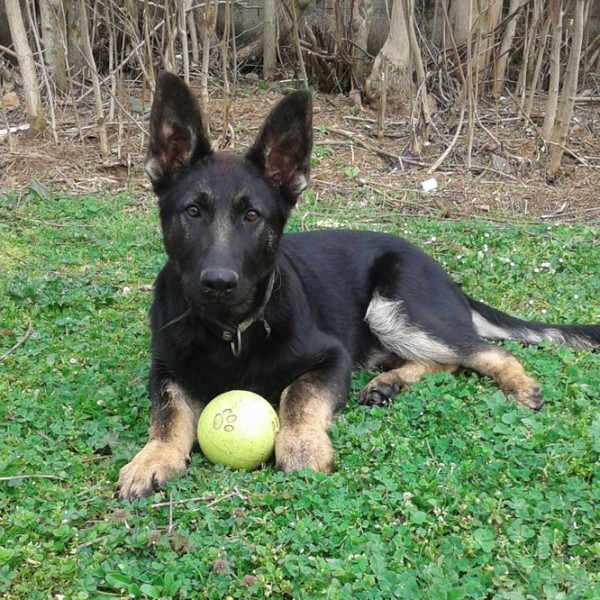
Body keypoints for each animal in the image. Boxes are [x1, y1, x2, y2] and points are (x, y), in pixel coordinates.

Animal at [117, 71, 600, 502]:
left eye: (252, 216)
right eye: (192, 211)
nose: (218, 283)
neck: (233, 331)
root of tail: (445, 277)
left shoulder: (332, 358)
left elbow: (298, 396)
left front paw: (302, 445)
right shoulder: (166, 370)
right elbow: (168, 415)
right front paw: (152, 457)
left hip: (392, 307)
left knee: (485, 352)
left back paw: (516, 385)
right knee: (445, 362)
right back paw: (389, 383)